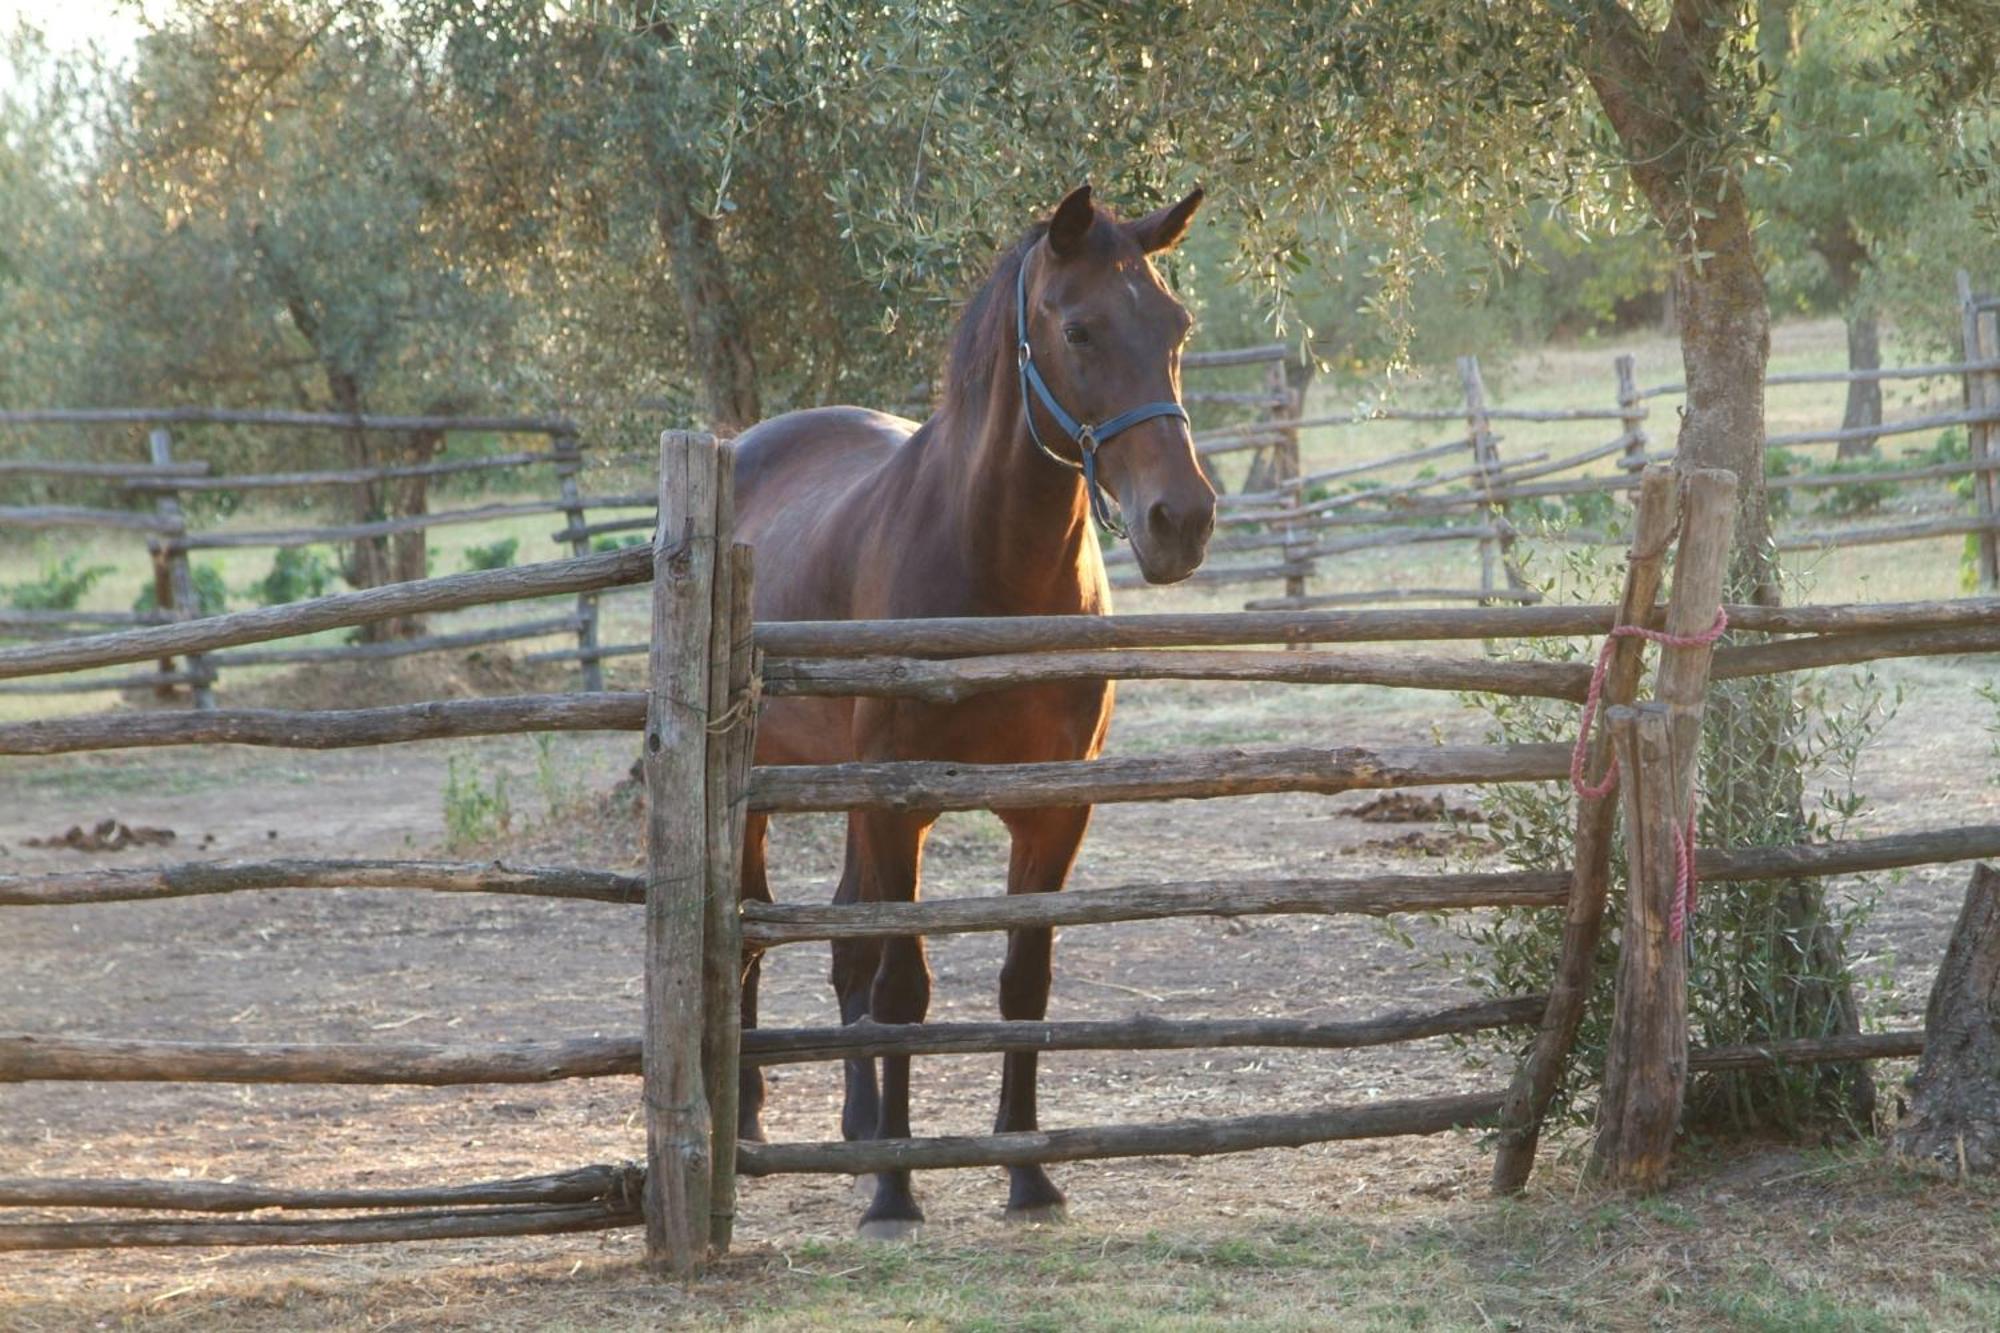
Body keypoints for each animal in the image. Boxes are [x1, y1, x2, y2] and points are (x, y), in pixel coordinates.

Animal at [728, 182, 1208, 1232]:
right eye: (1079, 328)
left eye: (1176, 326)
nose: (1183, 521)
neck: (994, 569)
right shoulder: (899, 802)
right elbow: (905, 984)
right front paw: (896, 1192)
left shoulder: (1052, 808)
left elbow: (1021, 980)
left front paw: (1025, 1173)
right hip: (766, 794)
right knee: (752, 932)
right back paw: (749, 1125)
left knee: (844, 946)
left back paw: (861, 1125)